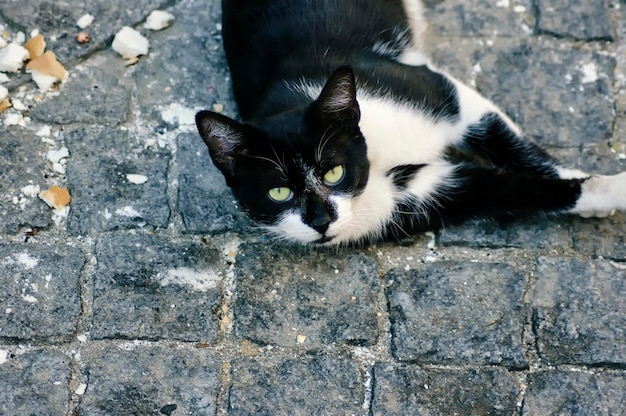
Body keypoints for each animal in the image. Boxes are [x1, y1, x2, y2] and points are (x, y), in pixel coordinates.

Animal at [193, 0, 620, 245]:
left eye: (333, 172)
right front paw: (601, 194)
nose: (320, 221)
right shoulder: (416, 194)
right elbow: (504, 190)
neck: (376, 153)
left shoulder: (440, 93)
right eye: (278, 193)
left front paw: (604, 183)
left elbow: (513, 146)